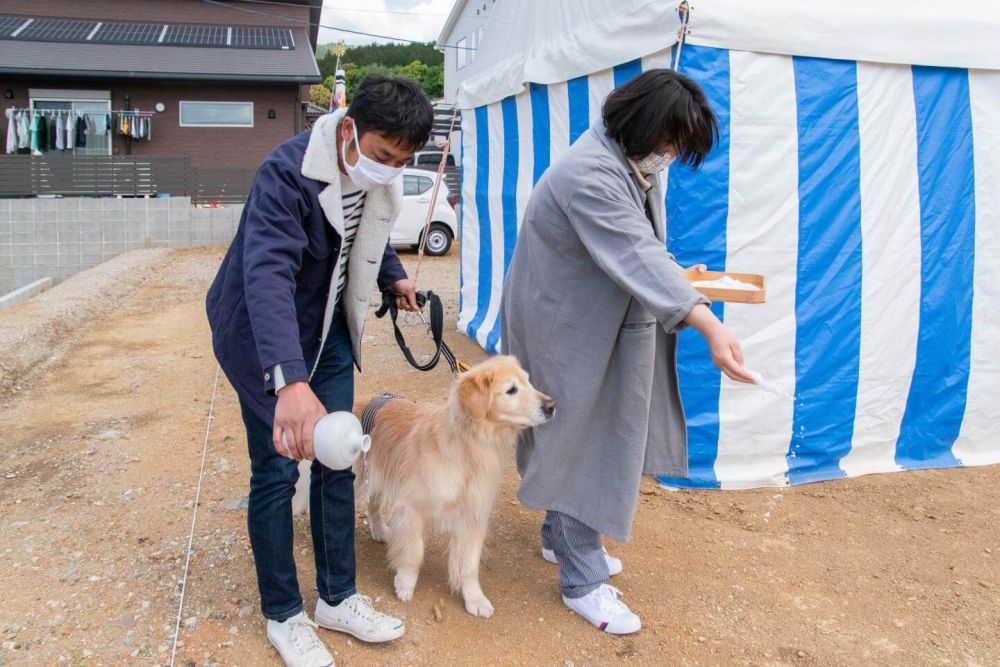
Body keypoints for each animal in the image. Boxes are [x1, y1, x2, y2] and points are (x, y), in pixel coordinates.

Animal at [356, 358, 556, 620]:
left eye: (529, 382)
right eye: (511, 390)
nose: (551, 406)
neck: (468, 445)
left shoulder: (474, 517)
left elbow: (470, 566)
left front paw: (475, 598)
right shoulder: (412, 509)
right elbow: (414, 552)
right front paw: (405, 583)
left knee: (373, 503)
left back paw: (379, 530)